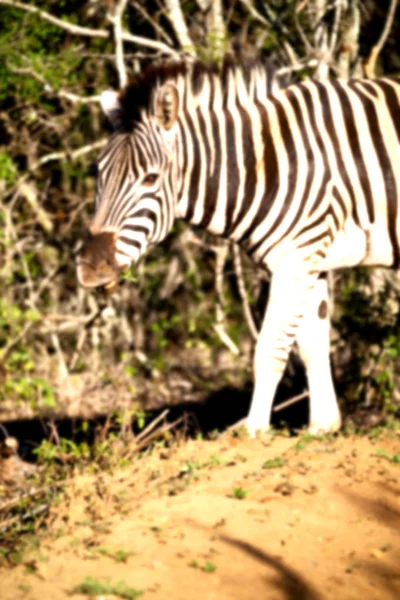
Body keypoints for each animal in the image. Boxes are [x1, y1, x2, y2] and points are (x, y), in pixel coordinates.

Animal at [77, 59, 400, 436]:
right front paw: (322, 427)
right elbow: (313, 346)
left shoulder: (296, 257)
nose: (90, 267)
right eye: (99, 173)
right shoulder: (312, 258)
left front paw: (253, 430)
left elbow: (269, 350)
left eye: (151, 179)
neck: (267, 164)